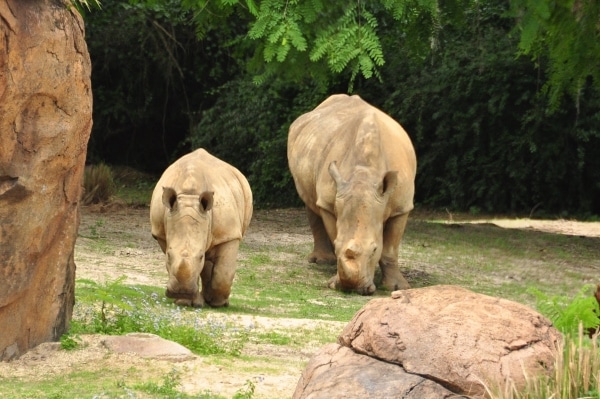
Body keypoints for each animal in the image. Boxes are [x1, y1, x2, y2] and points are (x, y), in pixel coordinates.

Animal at [152, 150, 253, 310]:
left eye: (200, 256)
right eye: (168, 255)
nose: (182, 292)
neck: (189, 195)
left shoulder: (229, 234)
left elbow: (223, 272)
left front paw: (218, 303)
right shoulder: (160, 233)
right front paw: (184, 301)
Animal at [288, 94, 414, 294]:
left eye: (374, 249)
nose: (352, 288)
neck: (364, 176)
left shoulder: (402, 206)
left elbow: (390, 249)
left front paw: (397, 287)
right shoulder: (329, 202)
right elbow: (334, 230)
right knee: (311, 202)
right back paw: (322, 262)